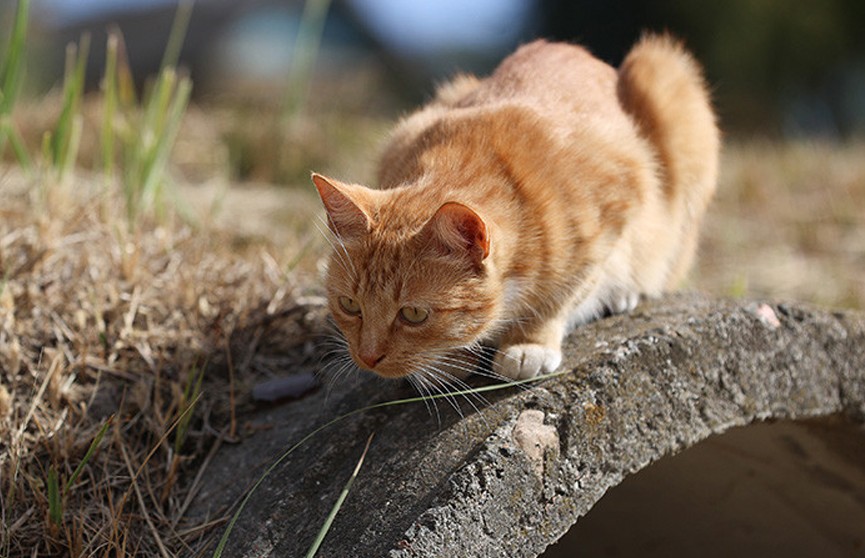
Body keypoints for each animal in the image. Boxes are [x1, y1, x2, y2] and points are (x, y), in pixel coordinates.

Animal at [314, 35, 720, 382]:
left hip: (667, 80)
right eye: (349, 305)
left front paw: (529, 343)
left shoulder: (616, 211)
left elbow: (561, 297)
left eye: (413, 314)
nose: (367, 358)